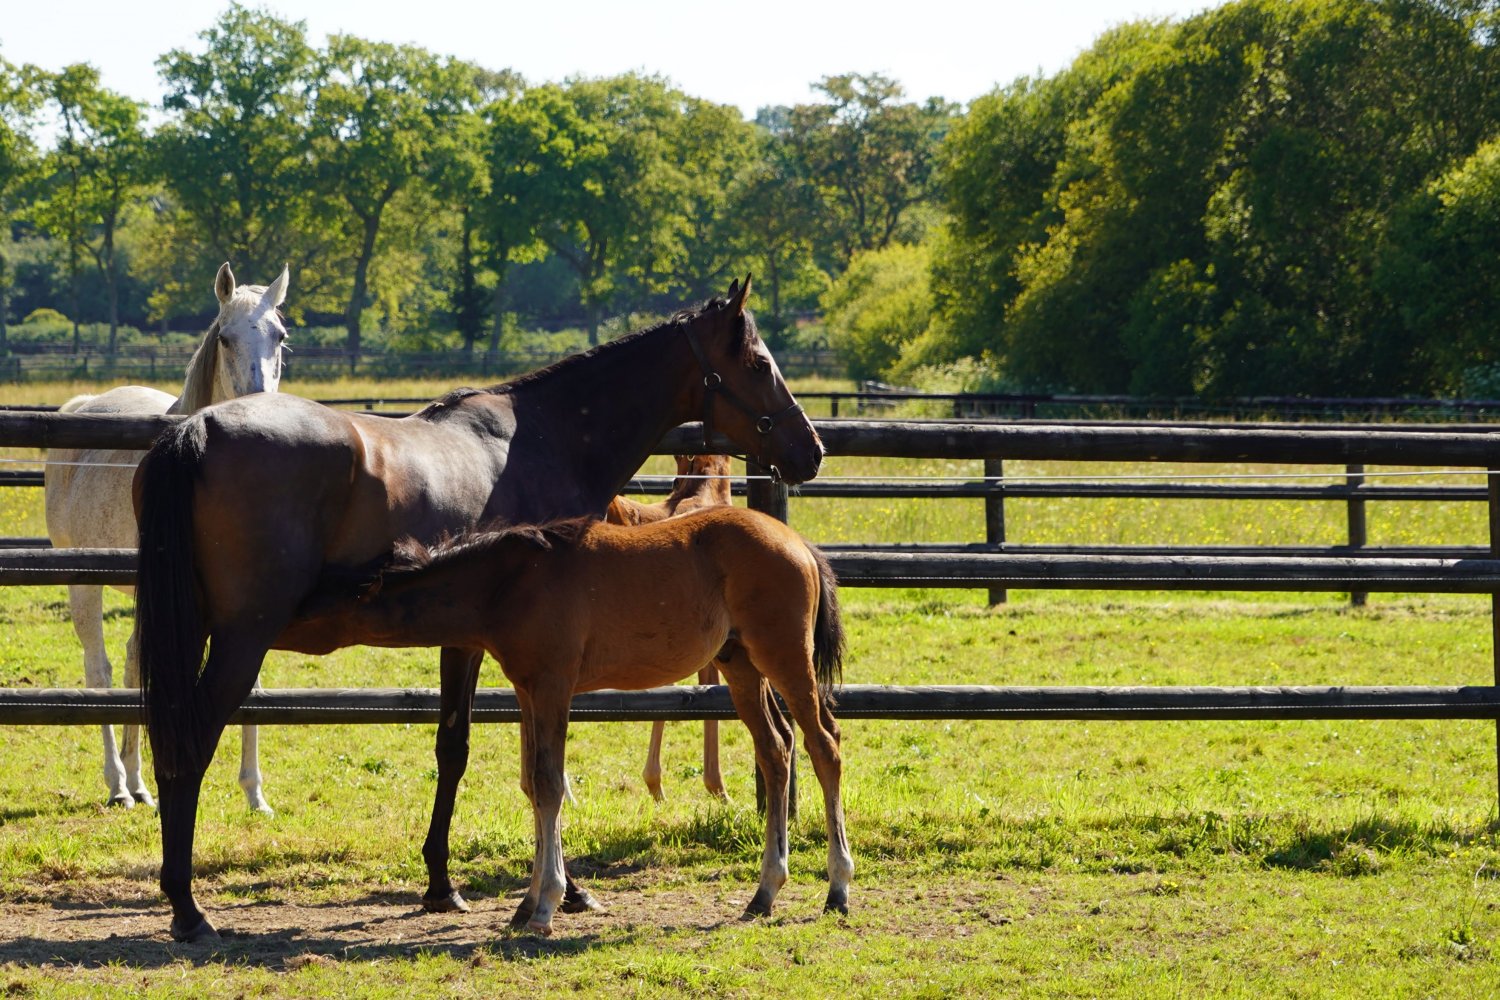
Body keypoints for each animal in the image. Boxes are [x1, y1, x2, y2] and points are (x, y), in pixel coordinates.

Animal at [45, 262, 288, 814]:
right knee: (101, 671)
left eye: (280, 336)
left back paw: (136, 780)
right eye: (225, 338)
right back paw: (120, 783)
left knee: (133, 663)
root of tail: (86, 404)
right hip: (83, 582)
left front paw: (255, 791)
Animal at [292, 505, 851, 936]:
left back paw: (838, 888)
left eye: (319, 605)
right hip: (741, 665)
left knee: (823, 744)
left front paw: (546, 906)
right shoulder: (529, 690)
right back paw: (764, 892)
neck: (507, 582)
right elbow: (533, 784)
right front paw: (529, 903)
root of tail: (800, 545)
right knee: (776, 749)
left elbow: (549, 783)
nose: (281, 620)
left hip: (784, 658)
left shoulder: (554, 686)